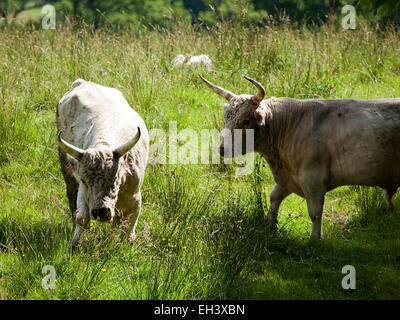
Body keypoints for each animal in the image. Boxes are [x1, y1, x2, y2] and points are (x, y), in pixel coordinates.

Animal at [57, 79, 149, 246]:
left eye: (114, 178)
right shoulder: (83, 191)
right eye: (85, 181)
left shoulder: (135, 198)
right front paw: (75, 245)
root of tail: (82, 82)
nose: (101, 212)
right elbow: (82, 218)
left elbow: (128, 230)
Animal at [202, 75, 400, 239]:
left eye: (245, 121)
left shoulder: (313, 180)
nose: (222, 150)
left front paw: (315, 239)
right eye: (226, 118)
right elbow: (274, 199)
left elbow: (315, 212)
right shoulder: (288, 179)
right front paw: (270, 226)